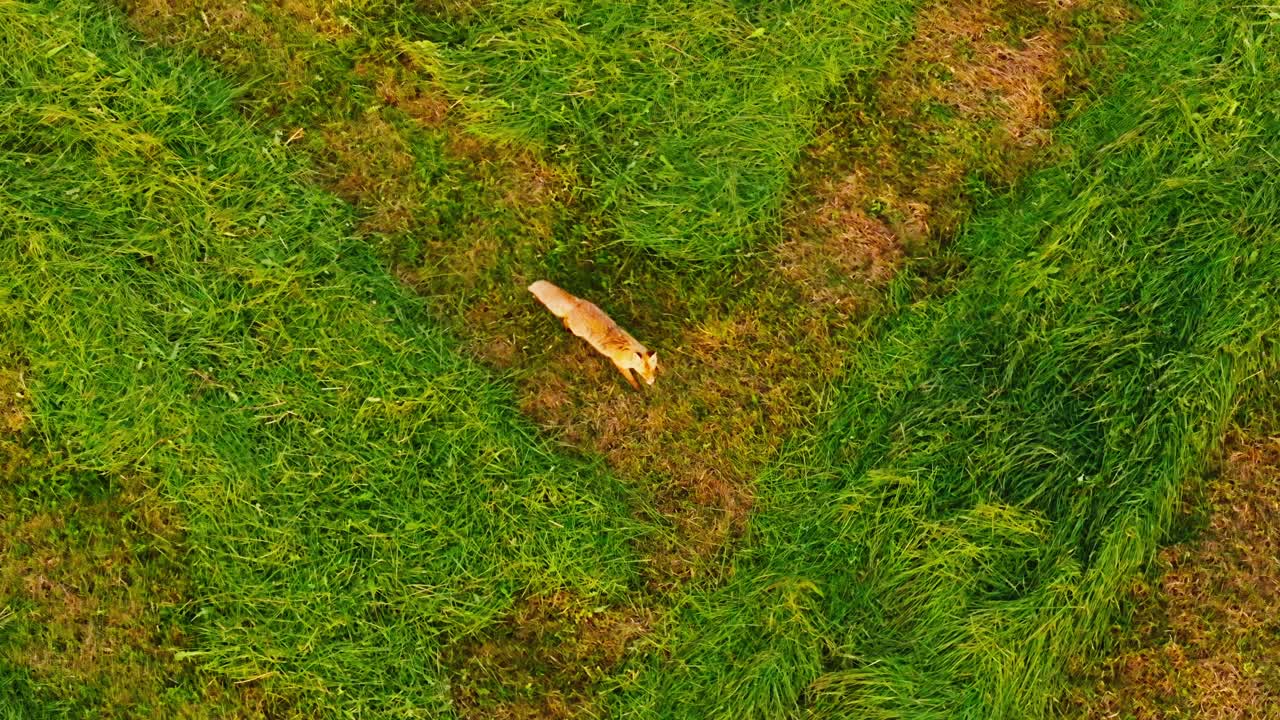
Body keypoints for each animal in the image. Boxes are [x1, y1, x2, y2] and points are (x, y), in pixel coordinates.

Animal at [528, 280, 659, 390]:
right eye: (642, 373)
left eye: (652, 371)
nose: (651, 382)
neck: (628, 348)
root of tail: (577, 304)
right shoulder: (619, 364)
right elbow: (631, 379)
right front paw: (637, 388)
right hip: (576, 330)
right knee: (565, 319)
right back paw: (566, 328)